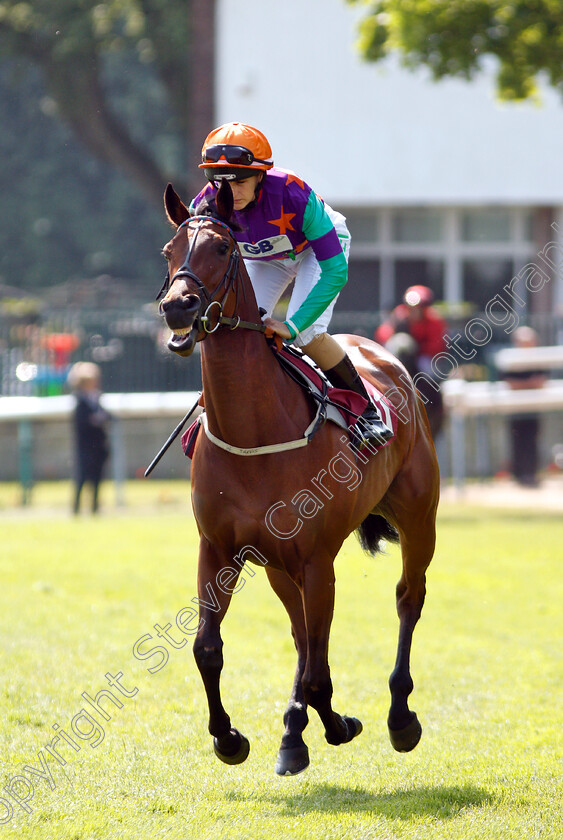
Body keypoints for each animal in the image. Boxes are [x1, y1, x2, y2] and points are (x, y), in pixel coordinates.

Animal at [158, 180, 440, 776]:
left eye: (222, 247)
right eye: (169, 251)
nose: (178, 305)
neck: (253, 430)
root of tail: (385, 354)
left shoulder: (316, 557)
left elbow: (316, 664)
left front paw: (332, 724)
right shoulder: (220, 549)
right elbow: (208, 649)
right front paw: (230, 738)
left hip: (416, 517)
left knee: (408, 598)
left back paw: (399, 716)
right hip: (277, 565)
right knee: (302, 634)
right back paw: (297, 729)